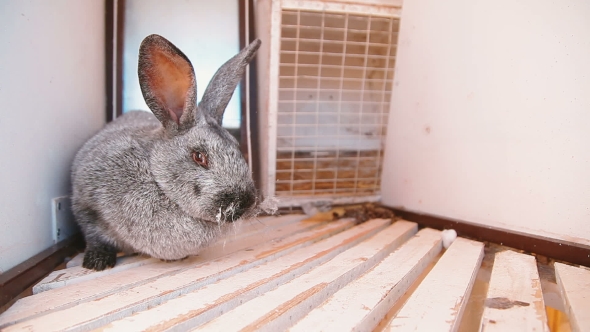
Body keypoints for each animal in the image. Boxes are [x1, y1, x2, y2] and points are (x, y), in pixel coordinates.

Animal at [71, 35, 264, 272]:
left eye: (237, 147)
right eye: (199, 156)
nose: (248, 202)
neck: (157, 179)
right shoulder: (86, 203)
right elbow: (93, 234)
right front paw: (97, 262)